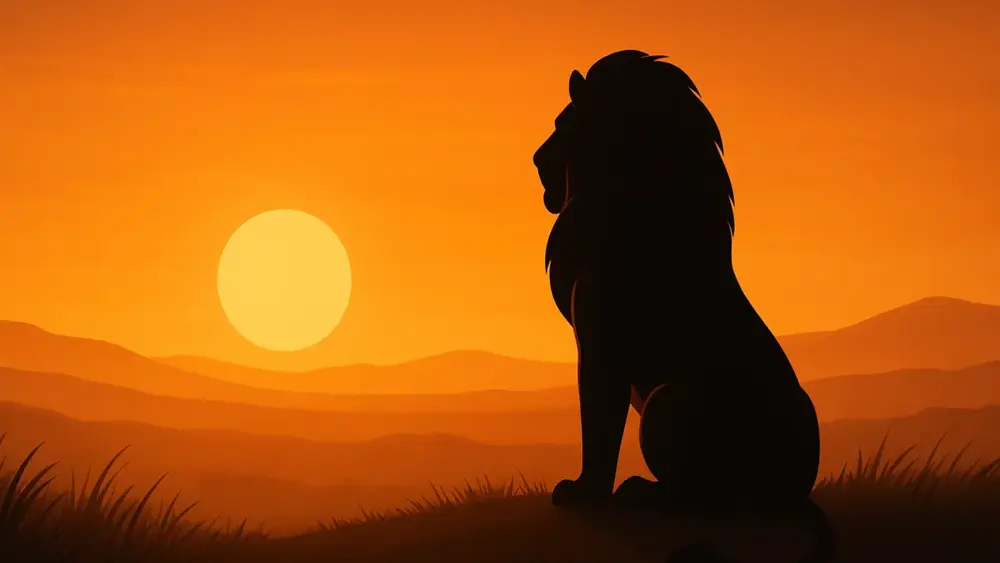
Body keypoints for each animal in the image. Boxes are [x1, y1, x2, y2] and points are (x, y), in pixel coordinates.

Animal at [533, 50, 823, 516]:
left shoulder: (600, 344)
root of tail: (797, 485)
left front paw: (584, 494)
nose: (536, 159)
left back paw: (638, 491)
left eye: (563, 123)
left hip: (664, 400)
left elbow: (599, 422)